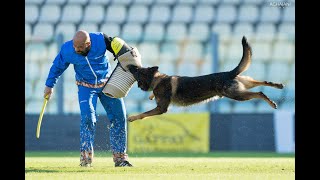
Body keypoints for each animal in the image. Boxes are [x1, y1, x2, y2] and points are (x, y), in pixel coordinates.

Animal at [126, 35, 284, 121]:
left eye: (137, 70)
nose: (130, 66)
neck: (157, 79)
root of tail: (229, 73)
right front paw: (150, 96)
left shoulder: (161, 108)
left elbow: (144, 114)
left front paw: (132, 117)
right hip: (242, 85)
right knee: (262, 81)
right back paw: (278, 85)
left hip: (237, 95)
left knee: (259, 93)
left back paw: (271, 102)